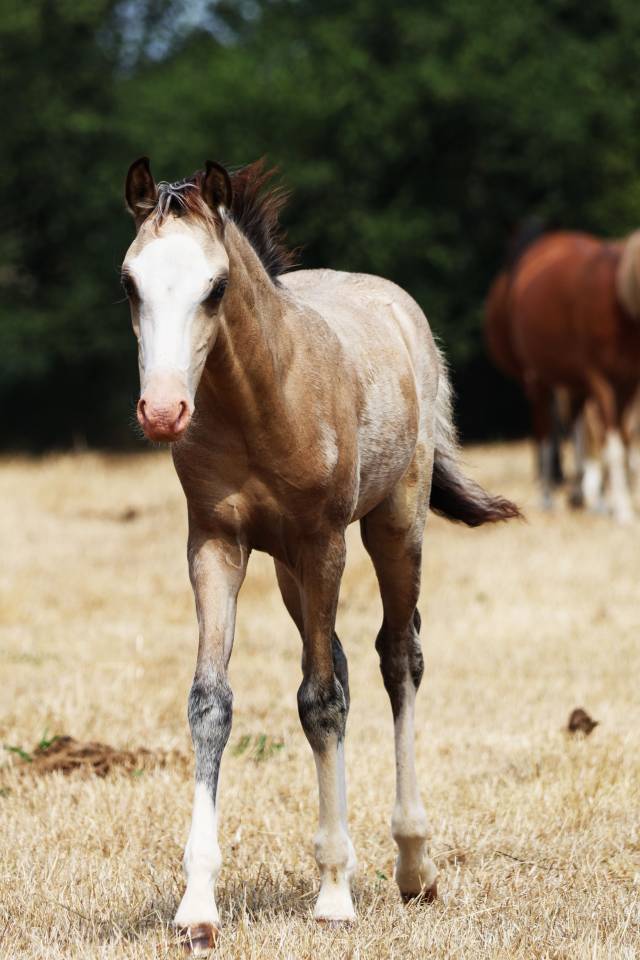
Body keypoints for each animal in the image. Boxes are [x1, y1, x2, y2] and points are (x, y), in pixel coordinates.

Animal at [122, 156, 519, 953]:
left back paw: (412, 865)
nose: (164, 411)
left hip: (394, 525)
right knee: (337, 659)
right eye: (129, 283)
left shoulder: (323, 541)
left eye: (214, 287)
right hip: (286, 570)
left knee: (397, 656)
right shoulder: (216, 543)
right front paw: (197, 907)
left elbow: (322, 700)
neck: (263, 400)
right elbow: (214, 701)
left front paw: (334, 894)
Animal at [485, 229, 640, 522]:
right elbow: (613, 447)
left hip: (573, 384)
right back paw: (551, 496)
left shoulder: (629, 383)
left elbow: (627, 442)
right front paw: (622, 511)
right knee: (546, 433)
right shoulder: (599, 379)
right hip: (539, 380)